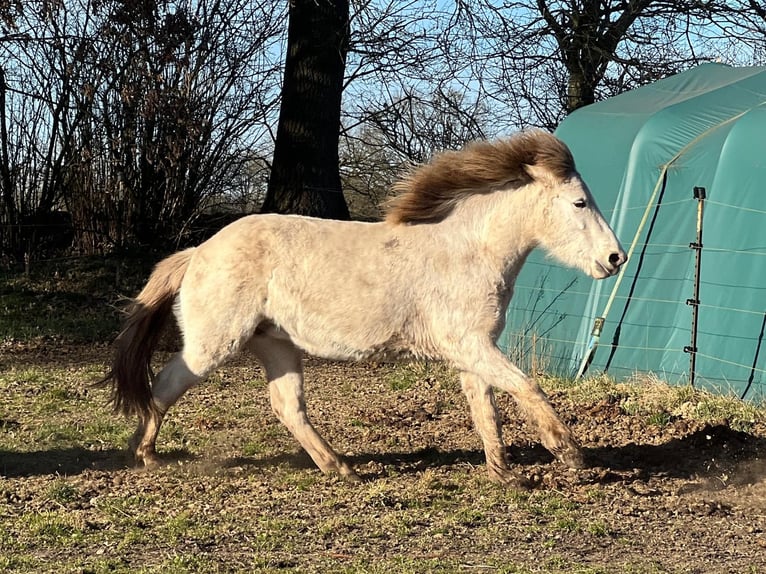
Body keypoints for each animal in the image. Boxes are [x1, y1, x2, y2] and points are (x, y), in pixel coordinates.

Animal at [99, 130, 626, 485]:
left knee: (287, 407)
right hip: (214, 345)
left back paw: (341, 467)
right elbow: (527, 387)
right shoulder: (472, 346)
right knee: (164, 385)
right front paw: (569, 453)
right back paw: (144, 454)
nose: (615, 258)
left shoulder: (473, 352)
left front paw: (505, 474)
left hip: (277, 347)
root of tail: (198, 252)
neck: (467, 251)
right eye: (580, 203)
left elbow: (487, 410)